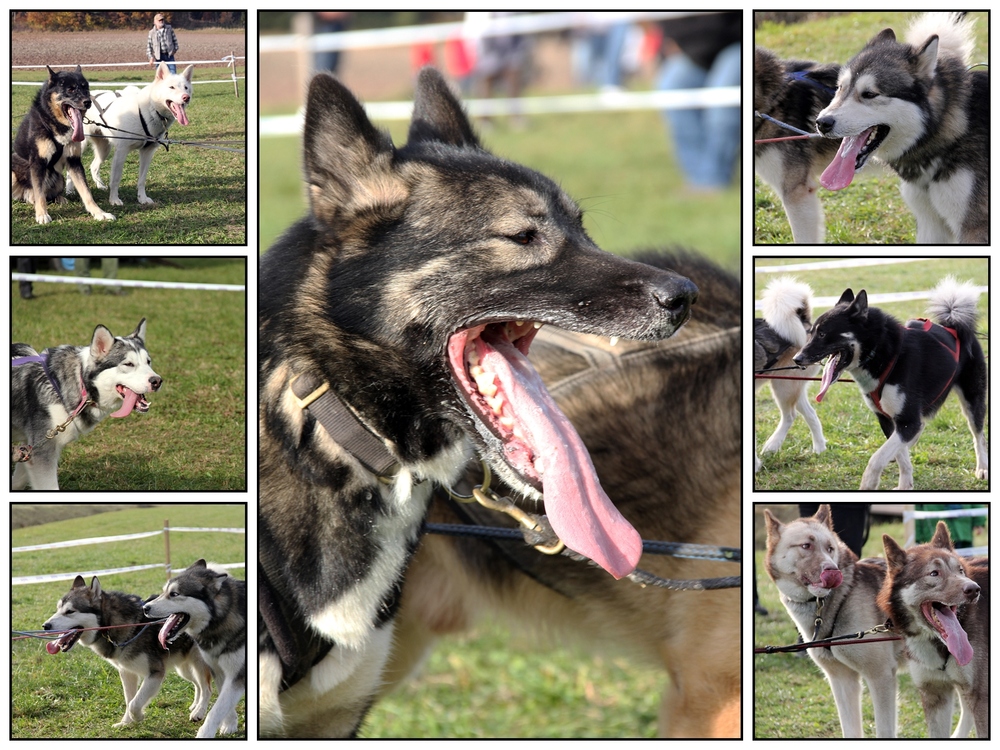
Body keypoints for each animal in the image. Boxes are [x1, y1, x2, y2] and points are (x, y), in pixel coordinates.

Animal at [792, 280, 988, 490]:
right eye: (811, 332)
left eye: (822, 334)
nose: (797, 359)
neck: (883, 354)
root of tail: (953, 327)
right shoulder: (888, 420)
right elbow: (902, 458)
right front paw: (905, 485)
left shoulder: (907, 421)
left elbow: (877, 458)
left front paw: (869, 483)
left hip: (972, 399)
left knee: (978, 435)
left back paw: (983, 468)